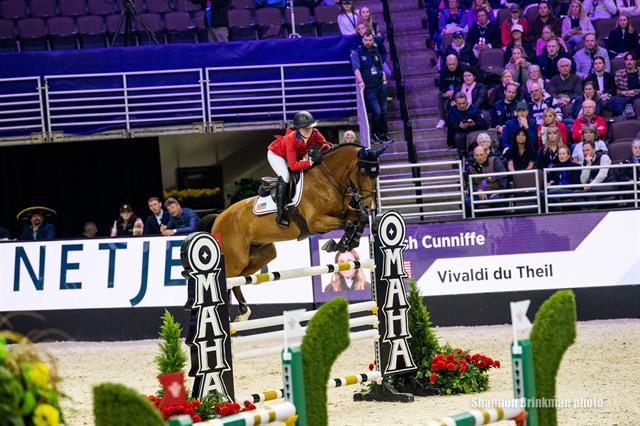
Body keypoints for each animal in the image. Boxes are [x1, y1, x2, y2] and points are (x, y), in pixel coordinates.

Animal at [202, 143, 382, 321]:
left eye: (377, 174)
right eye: (363, 172)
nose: (369, 205)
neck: (328, 179)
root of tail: (219, 217)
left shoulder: (344, 212)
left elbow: (360, 218)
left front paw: (352, 241)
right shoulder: (316, 222)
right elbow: (349, 224)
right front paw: (339, 244)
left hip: (261, 255)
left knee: (238, 280)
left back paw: (243, 312)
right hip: (236, 259)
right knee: (228, 279)